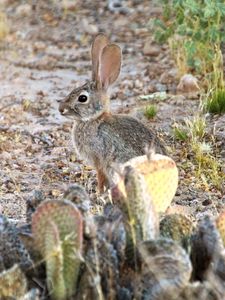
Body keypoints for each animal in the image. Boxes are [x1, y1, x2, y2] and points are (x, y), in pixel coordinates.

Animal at [59, 33, 166, 192]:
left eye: (82, 98)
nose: (61, 109)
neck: (94, 119)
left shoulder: (99, 159)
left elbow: (100, 176)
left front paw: (98, 191)